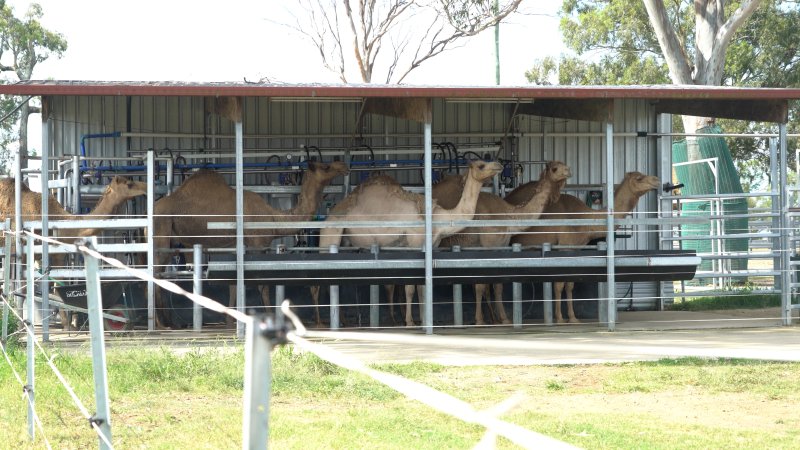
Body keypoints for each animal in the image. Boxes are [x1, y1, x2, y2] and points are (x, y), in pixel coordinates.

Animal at [0, 176, 148, 330]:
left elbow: (57, 286)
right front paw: (20, 326)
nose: (146, 188)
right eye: (129, 184)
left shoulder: (56, 254)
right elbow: (22, 288)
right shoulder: (22, 251)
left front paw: (68, 325)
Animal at [152, 160, 348, 328]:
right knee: (154, 272)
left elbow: (233, 283)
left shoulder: (237, 248)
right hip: (161, 231)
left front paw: (230, 321)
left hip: (171, 242)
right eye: (326, 166)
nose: (343, 165)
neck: (273, 218)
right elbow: (261, 284)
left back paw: (170, 322)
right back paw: (160, 324)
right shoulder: (257, 245)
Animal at [312, 160, 503, 327]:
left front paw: (425, 320)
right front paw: (410, 322)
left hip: (345, 244)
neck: (436, 219)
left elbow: (422, 288)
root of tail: (330, 215)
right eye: (481, 165)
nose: (499, 165)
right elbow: (411, 289)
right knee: (319, 283)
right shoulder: (414, 246)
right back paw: (322, 322)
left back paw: (343, 321)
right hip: (330, 235)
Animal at [434, 160, 571, 325]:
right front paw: (480, 320)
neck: (508, 215)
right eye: (554, 168)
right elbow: (480, 286)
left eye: (563, 164)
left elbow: (497, 285)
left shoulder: (501, 247)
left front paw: (503, 319)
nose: (568, 171)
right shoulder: (486, 246)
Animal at [507, 171, 660, 324]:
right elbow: (559, 285)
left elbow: (570, 285)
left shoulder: (574, 249)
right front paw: (559, 319)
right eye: (639, 178)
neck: (584, 220)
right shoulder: (563, 247)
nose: (657, 180)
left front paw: (573, 318)